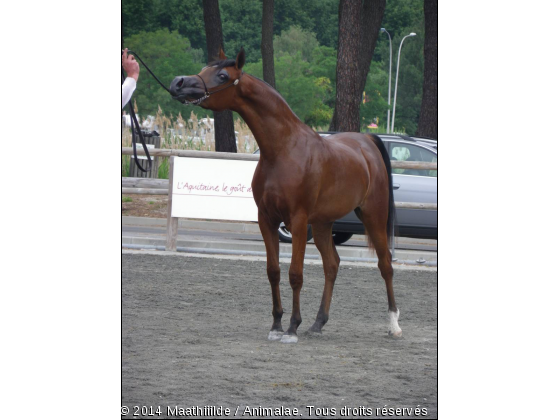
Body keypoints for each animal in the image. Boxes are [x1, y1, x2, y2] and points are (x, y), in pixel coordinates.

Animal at [168, 50, 400, 344]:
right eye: (203, 69)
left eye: (222, 75)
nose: (178, 82)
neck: (283, 150)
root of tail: (367, 142)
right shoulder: (266, 220)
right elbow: (274, 272)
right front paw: (276, 325)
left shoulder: (297, 221)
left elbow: (295, 274)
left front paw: (291, 328)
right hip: (323, 223)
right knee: (332, 265)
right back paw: (318, 323)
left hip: (373, 216)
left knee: (385, 265)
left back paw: (394, 325)